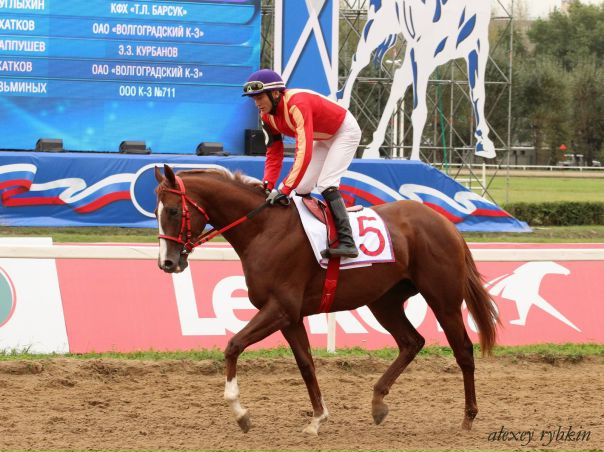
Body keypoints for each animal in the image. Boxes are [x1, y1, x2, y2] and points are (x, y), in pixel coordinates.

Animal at [154, 164, 498, 435]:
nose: (167, 263)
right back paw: (378, 402)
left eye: (172, 210)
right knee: (411, 341)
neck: (264, 229)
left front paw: (240, 413)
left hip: (443, 299)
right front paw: (318, 419)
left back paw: (468, 418)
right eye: (156, 212)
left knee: (463, 350)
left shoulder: (280, 308)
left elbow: (233, 345)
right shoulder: (289, 316)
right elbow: (306, 364)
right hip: (383, 301)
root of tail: (446, 223)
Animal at [337, 0, 496, 160]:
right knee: (359, 60)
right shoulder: (422, 51)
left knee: (400, 79)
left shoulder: (477, 47)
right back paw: (342, 102)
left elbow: (478, 94)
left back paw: (373, 146)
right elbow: (420, 110)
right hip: (379, 25)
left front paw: (483, 142)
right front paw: (415, 159)